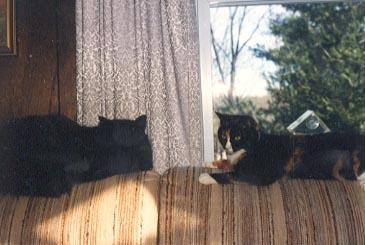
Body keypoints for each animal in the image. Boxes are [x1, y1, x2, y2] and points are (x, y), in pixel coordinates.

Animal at [199, 111, 364, 189]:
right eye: (223, 135)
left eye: (237, 137)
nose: (226, 147)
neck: (254, 145)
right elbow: (227, 163)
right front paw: (209, 162)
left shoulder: (259, 174)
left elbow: (230, 175)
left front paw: (206, 176)